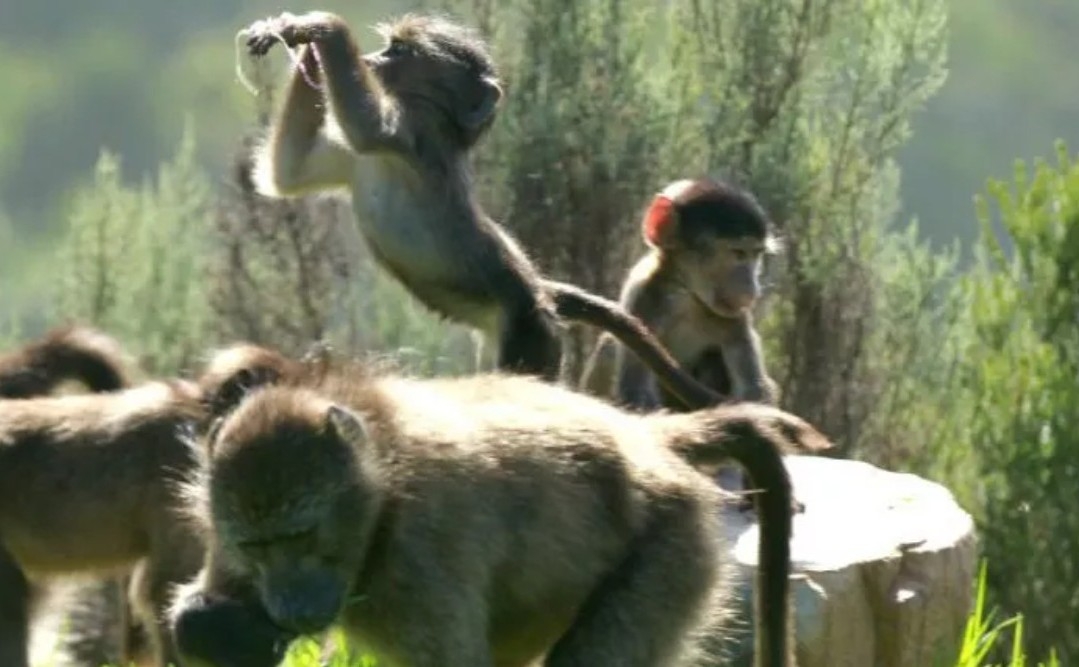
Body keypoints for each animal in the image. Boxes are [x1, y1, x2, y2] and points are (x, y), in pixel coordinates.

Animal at [169, 358, 828, 667]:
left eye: (301, 536)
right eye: (257, 547)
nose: (290, 607)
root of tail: (649, 441)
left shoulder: (423, 562)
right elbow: (197, 614)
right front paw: (226, 629)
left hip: (673, 546)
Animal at [237, 10, 735, 411]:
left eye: (399, 50)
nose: (374, 59)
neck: (435, 118)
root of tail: (540, 294)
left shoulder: (412, 135)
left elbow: (364, 125)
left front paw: (318, 27)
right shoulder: (357, 162)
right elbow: (286, 175)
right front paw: (301, 48)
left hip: (531, 338)